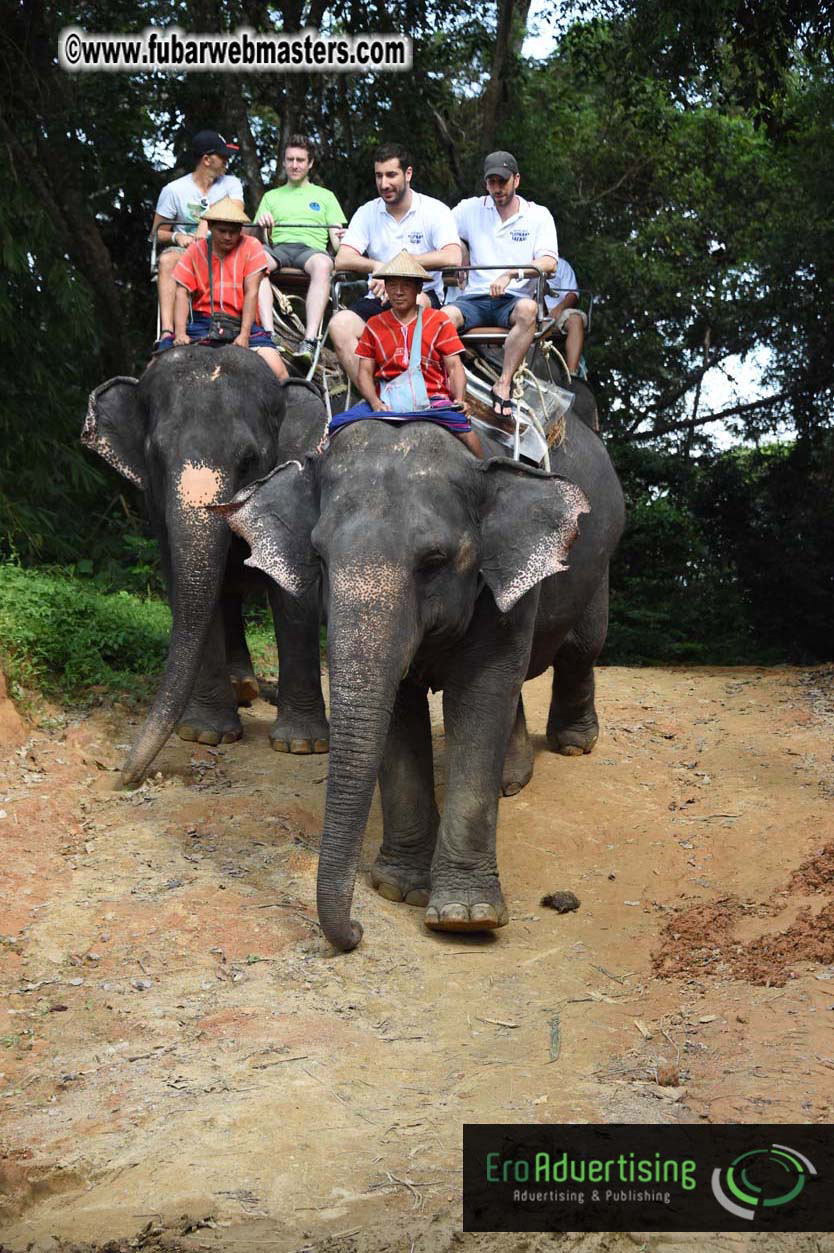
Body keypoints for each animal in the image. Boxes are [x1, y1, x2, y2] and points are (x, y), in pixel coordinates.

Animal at [81, 346, 330, 788]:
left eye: (249, 459)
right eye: (156, 456)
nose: (123, 776)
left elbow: (294, 591)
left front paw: (303, 745)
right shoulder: (156, 507)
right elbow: (189, 586)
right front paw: (206, 734)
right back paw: (242, 688)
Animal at [214, 410, 625, 952]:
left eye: (434, 561)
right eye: (319, 558)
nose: (356, 931)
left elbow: (479, 696)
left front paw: (465, 918)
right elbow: (401, 709)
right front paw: (400, 890)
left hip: (599, 556)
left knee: (582, 647)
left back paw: (575, 745)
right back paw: (511, 781)